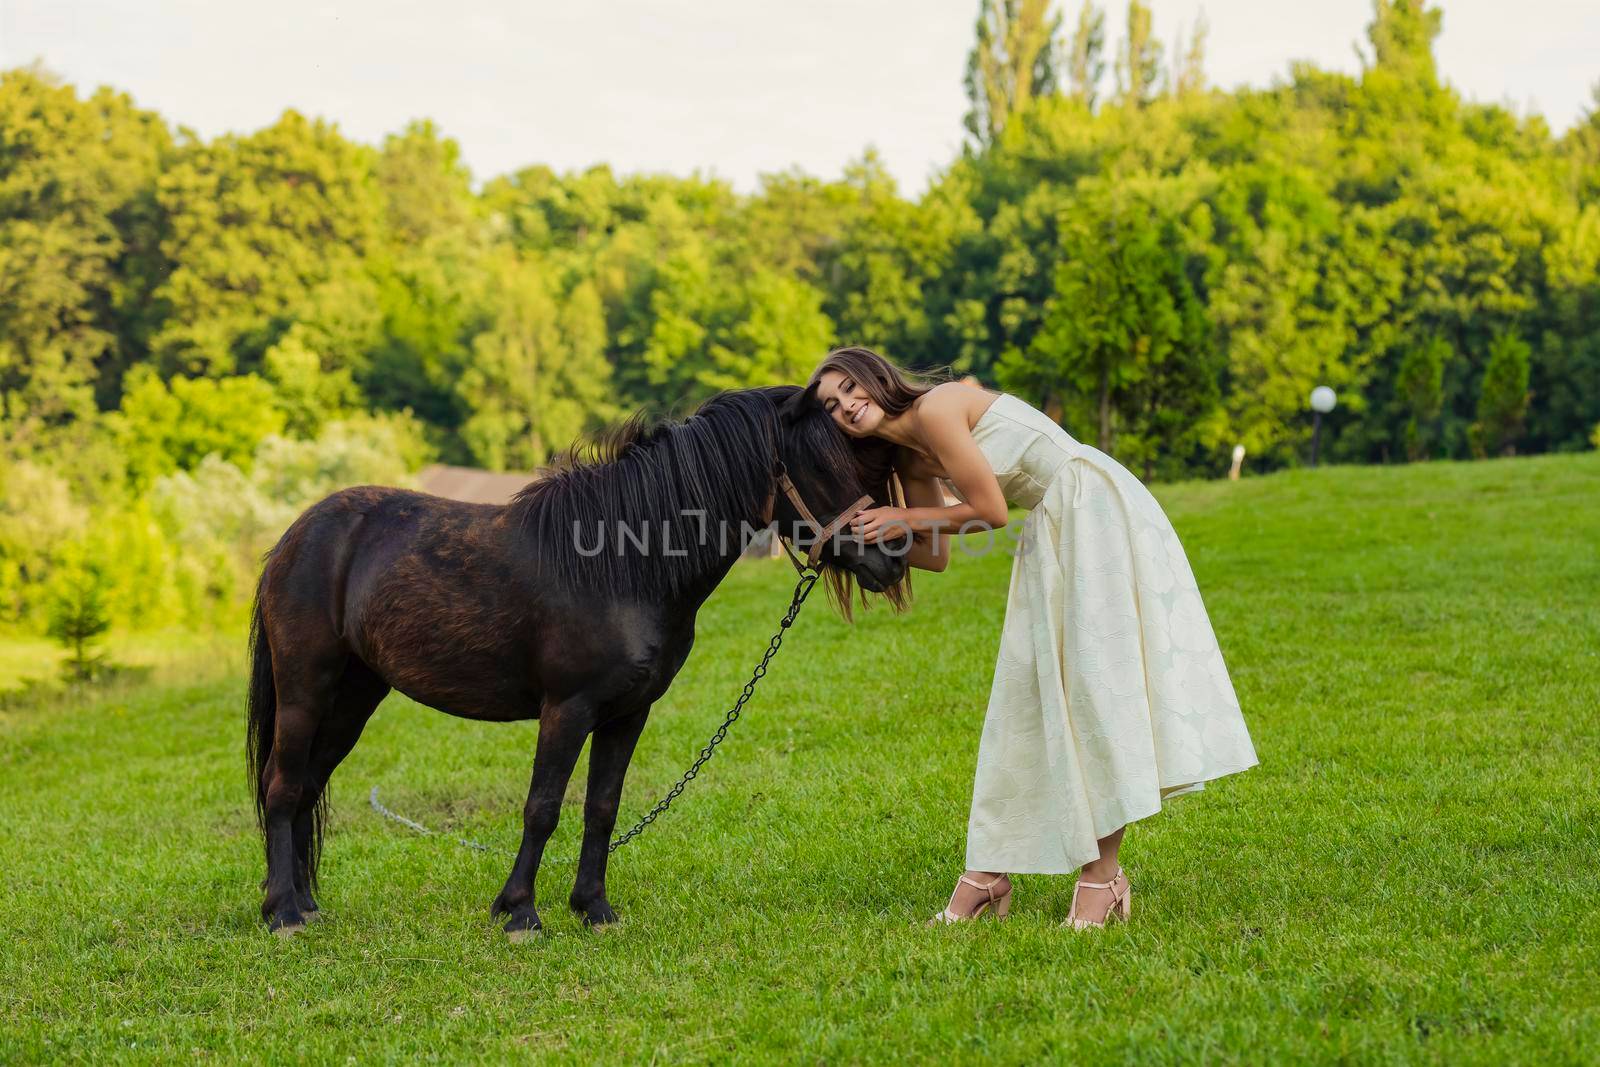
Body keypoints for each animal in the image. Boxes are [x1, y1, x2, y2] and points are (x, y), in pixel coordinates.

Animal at [244, 383, 908, 934]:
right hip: (306, 690)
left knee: (307, 786)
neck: (622, 566)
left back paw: (305, 904)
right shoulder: (567, 709)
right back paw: (283, 914)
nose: (894, 557)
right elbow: (542, 808)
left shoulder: (627, 713)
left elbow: (601, 808)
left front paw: (594, 909)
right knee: (282, 785)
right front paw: (519, 913)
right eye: (822, 466)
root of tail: (293, 538)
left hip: (354, 697)